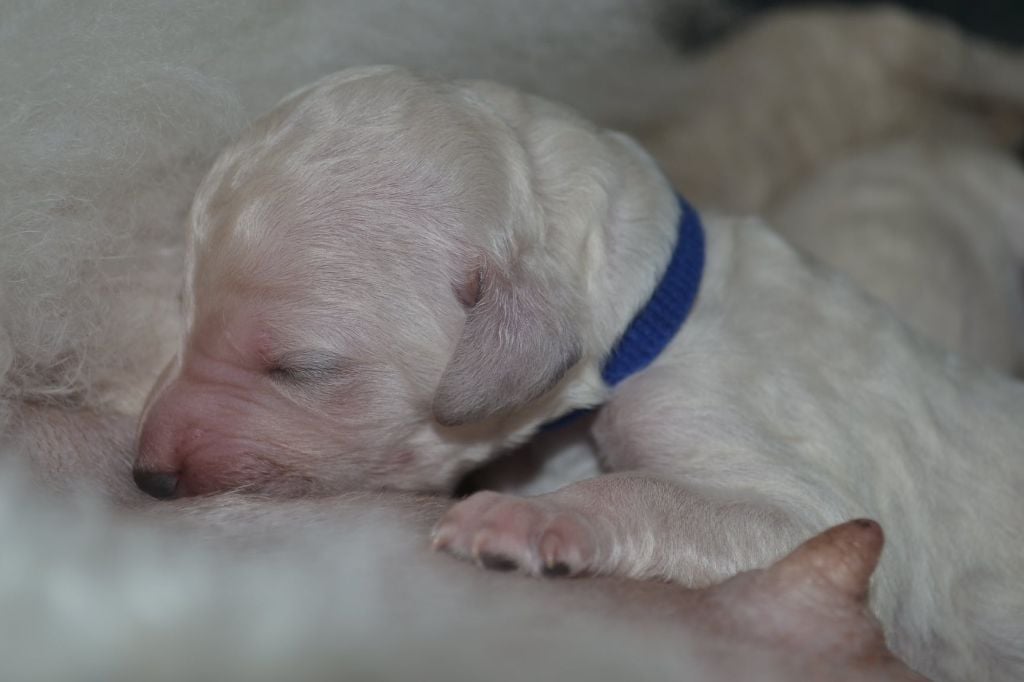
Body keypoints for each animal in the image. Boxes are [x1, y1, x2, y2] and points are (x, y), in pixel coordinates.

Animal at [134, 67, 1024, 680]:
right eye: (183, 305)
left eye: (299, 367)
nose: (145, 477)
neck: (653, 314)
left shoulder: (784, 477)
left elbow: (690, 495)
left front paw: (518, 520)